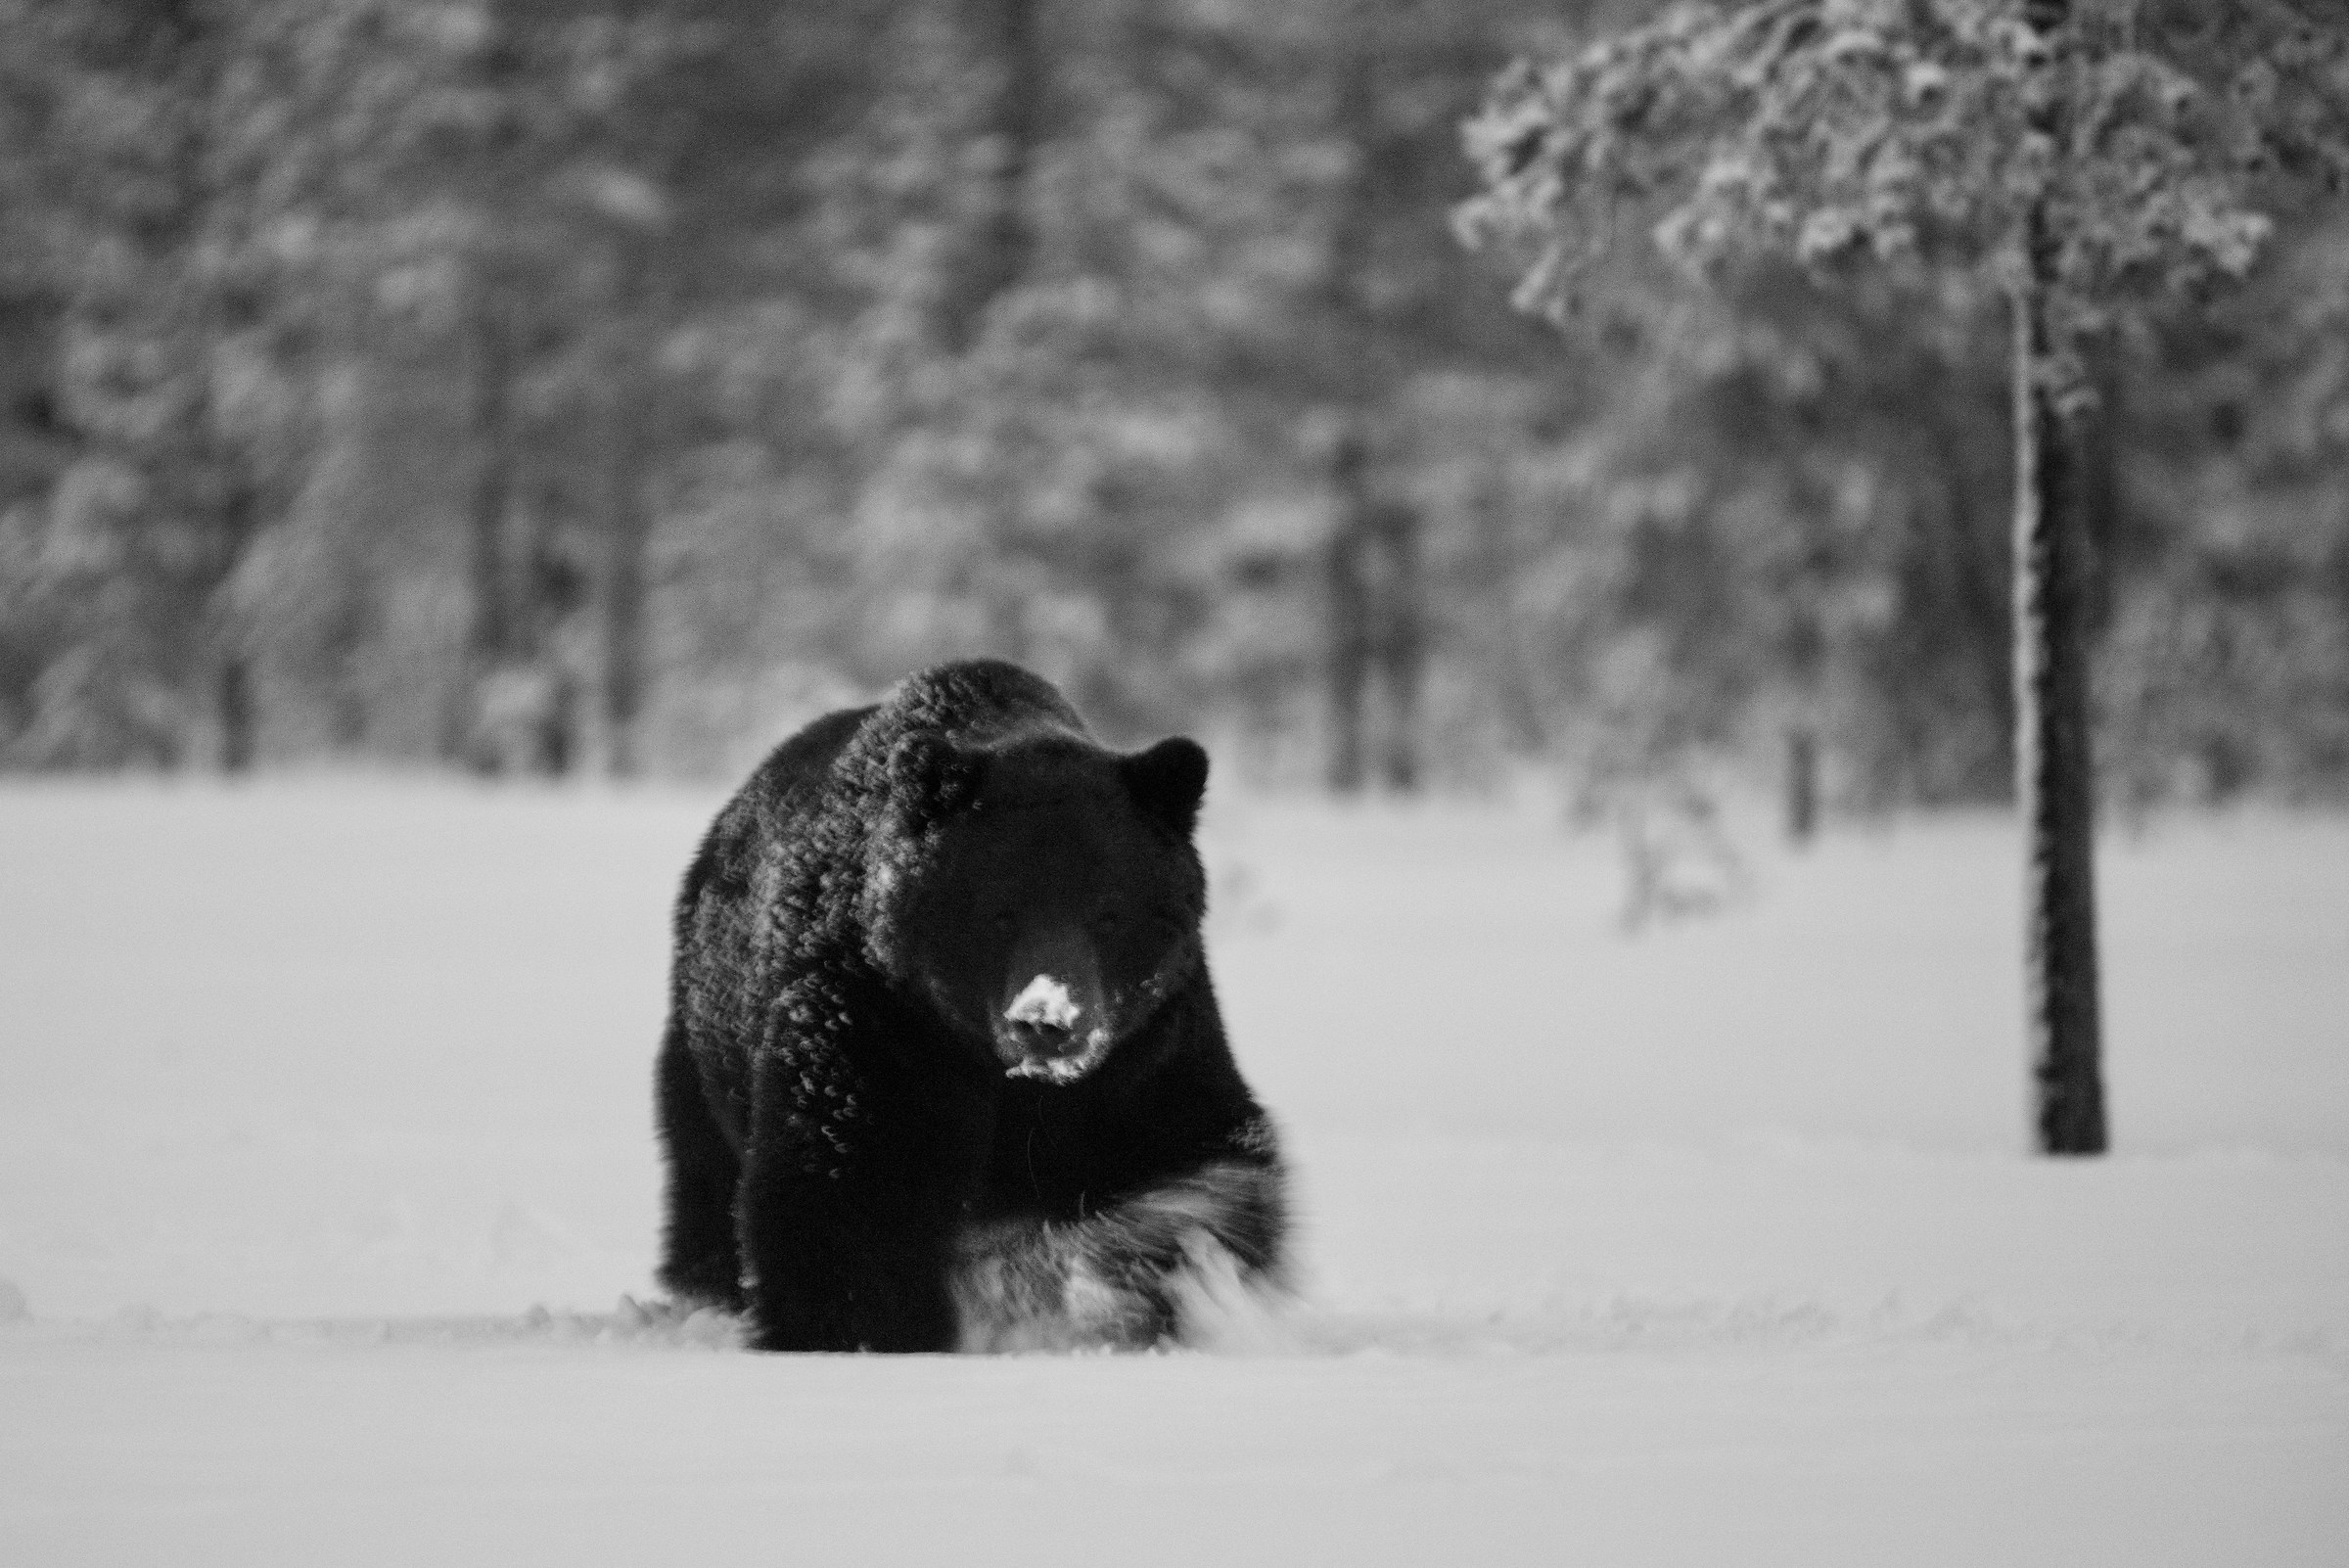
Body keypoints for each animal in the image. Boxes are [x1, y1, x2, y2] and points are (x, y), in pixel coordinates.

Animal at [654, 659, 1289, 1352]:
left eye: (1110, 910)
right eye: (1000, 909)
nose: (1046, 1023)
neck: (1015, 1082)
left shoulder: (1149, 1044)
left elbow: (1201, 1161)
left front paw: (1153, 1275)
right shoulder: (882, 1021)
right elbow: (854, 1193)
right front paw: (867, 1332)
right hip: (707, 1052)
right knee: (705, 1184)